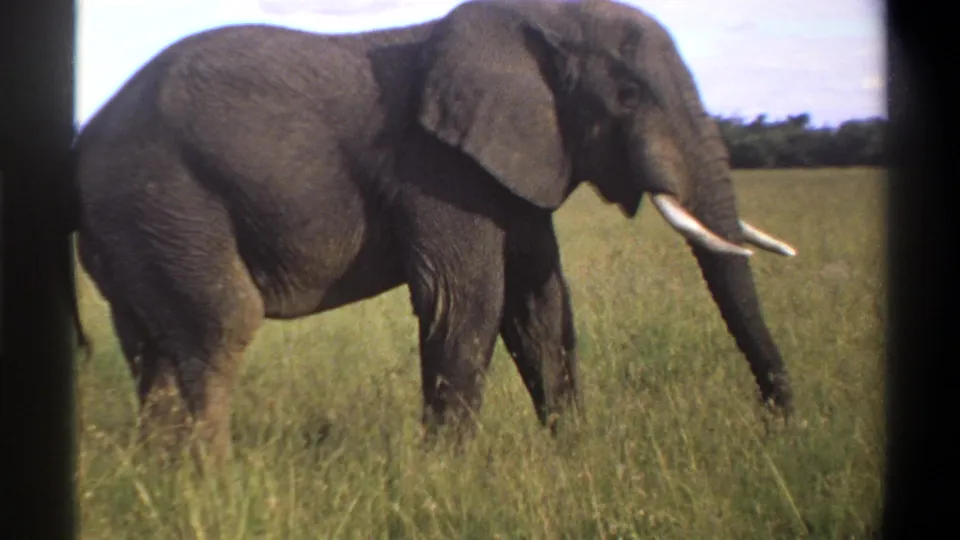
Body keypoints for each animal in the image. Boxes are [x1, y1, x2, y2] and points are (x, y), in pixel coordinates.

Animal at [69, 0, 798, 462]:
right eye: (627, 95)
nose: (780, 428)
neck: (541, 16)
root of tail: (83, 140)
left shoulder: (513, 166)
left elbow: (540, 307)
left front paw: (573, 455)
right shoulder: (435, 168)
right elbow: (465, 300)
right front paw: (450, 477)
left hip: (135, 228)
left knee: (152, 347)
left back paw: (166, 480)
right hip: (164, 199)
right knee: (220, 324)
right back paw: (213, 485)